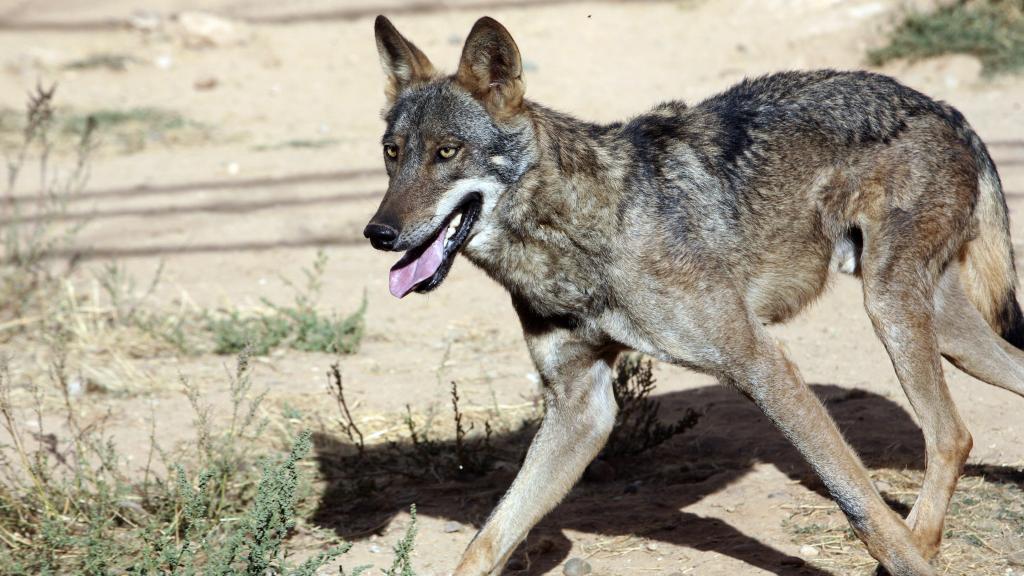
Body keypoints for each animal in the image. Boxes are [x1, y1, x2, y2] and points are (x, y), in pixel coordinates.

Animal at [362, 15, 1024, 576]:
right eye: (393, 154)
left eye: (448, 152)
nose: (378, 233)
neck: (585, 230)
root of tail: (943, 107)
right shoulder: (582, 408)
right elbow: (487, 541)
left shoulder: (762, 364)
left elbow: (859, 504)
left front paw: (903, 556)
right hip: (943, 330)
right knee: (968, 422)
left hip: (891, 311)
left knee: (948, 435)